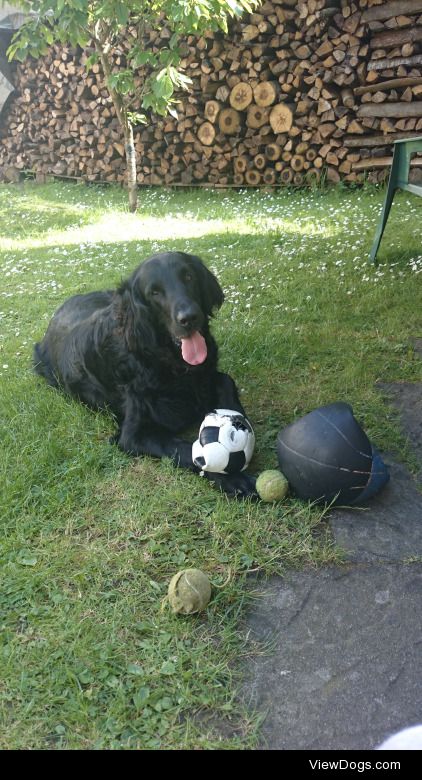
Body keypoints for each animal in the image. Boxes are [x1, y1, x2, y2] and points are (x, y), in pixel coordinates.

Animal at [33, 250, 256, 496]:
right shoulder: (133, 435)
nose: (189, 317)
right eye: (154, 292)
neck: (166, 362)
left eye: (188, 277)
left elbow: (226, 382)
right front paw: (234, 478)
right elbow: (187, 450)